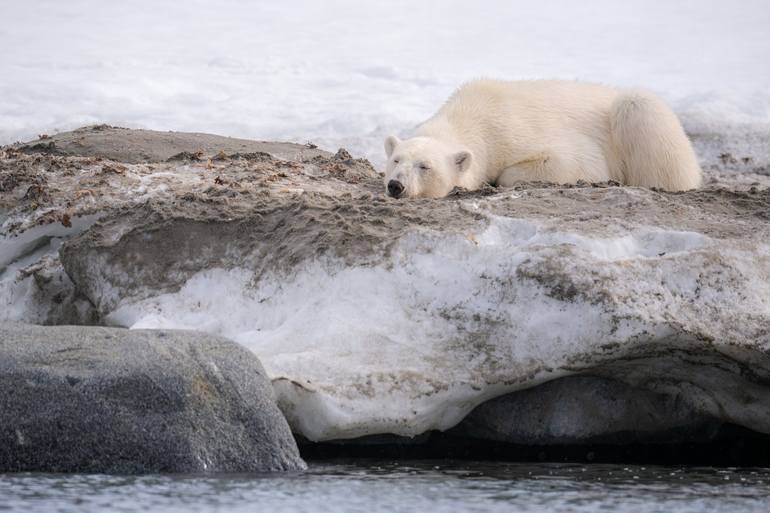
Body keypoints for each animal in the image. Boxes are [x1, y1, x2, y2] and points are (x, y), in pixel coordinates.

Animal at [380, 80, 700, 198]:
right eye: (396, 160)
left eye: (425, 166)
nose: (396, 185)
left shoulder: (512, 130)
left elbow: (577, 162)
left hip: (638, 114)